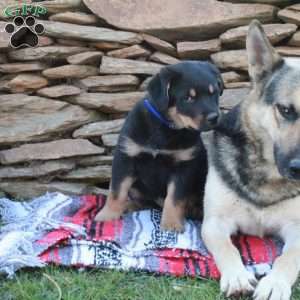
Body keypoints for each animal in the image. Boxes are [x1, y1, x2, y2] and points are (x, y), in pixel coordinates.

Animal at [95, 61, 224, 232]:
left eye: (213, 93)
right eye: (188, 98)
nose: (214, 117)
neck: (166, 128)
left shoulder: (184, 166)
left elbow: (174, 198)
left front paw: (171, 224)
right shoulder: (125, 157)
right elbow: (117, 191)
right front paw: (107, 216)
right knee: (145, 202)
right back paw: (129, 206)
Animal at [203, 19, 300, 298]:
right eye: (285, 110)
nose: (298, 168)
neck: (267, 175)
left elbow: (288, 258)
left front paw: (275, 283)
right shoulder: (214, 222)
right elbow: (228, 248)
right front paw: (236, 277)